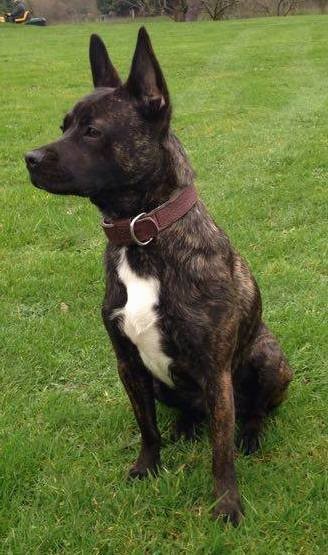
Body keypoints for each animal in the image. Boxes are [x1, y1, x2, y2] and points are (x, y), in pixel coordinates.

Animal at [25, 29, 292, 524]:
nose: (29, 158)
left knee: (253, 413)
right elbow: (146, 425)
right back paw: (186, 426)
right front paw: (148, 467)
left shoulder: (216, 372)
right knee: (186, 412)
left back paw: (251, 434)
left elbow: (221, 451)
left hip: (268, 358)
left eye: (92, 131)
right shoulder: (128, 364)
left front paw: (226, 503)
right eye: (63, 125)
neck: (142, 235)